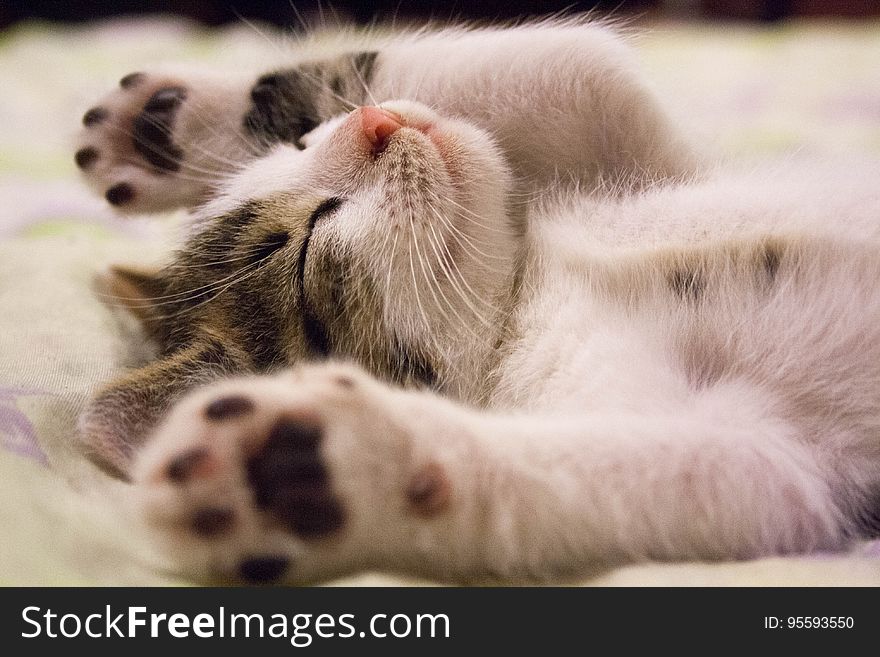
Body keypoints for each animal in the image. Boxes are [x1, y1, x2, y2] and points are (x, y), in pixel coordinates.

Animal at [75, 21, 880, 584]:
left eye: (301, 145)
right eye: (302, 248)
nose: (377, 123)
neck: (528, 285)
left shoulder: (665, 166)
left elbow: (583, 68)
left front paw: (165, 124)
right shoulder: (795, 470)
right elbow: (718, 473)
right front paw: (316, 466)